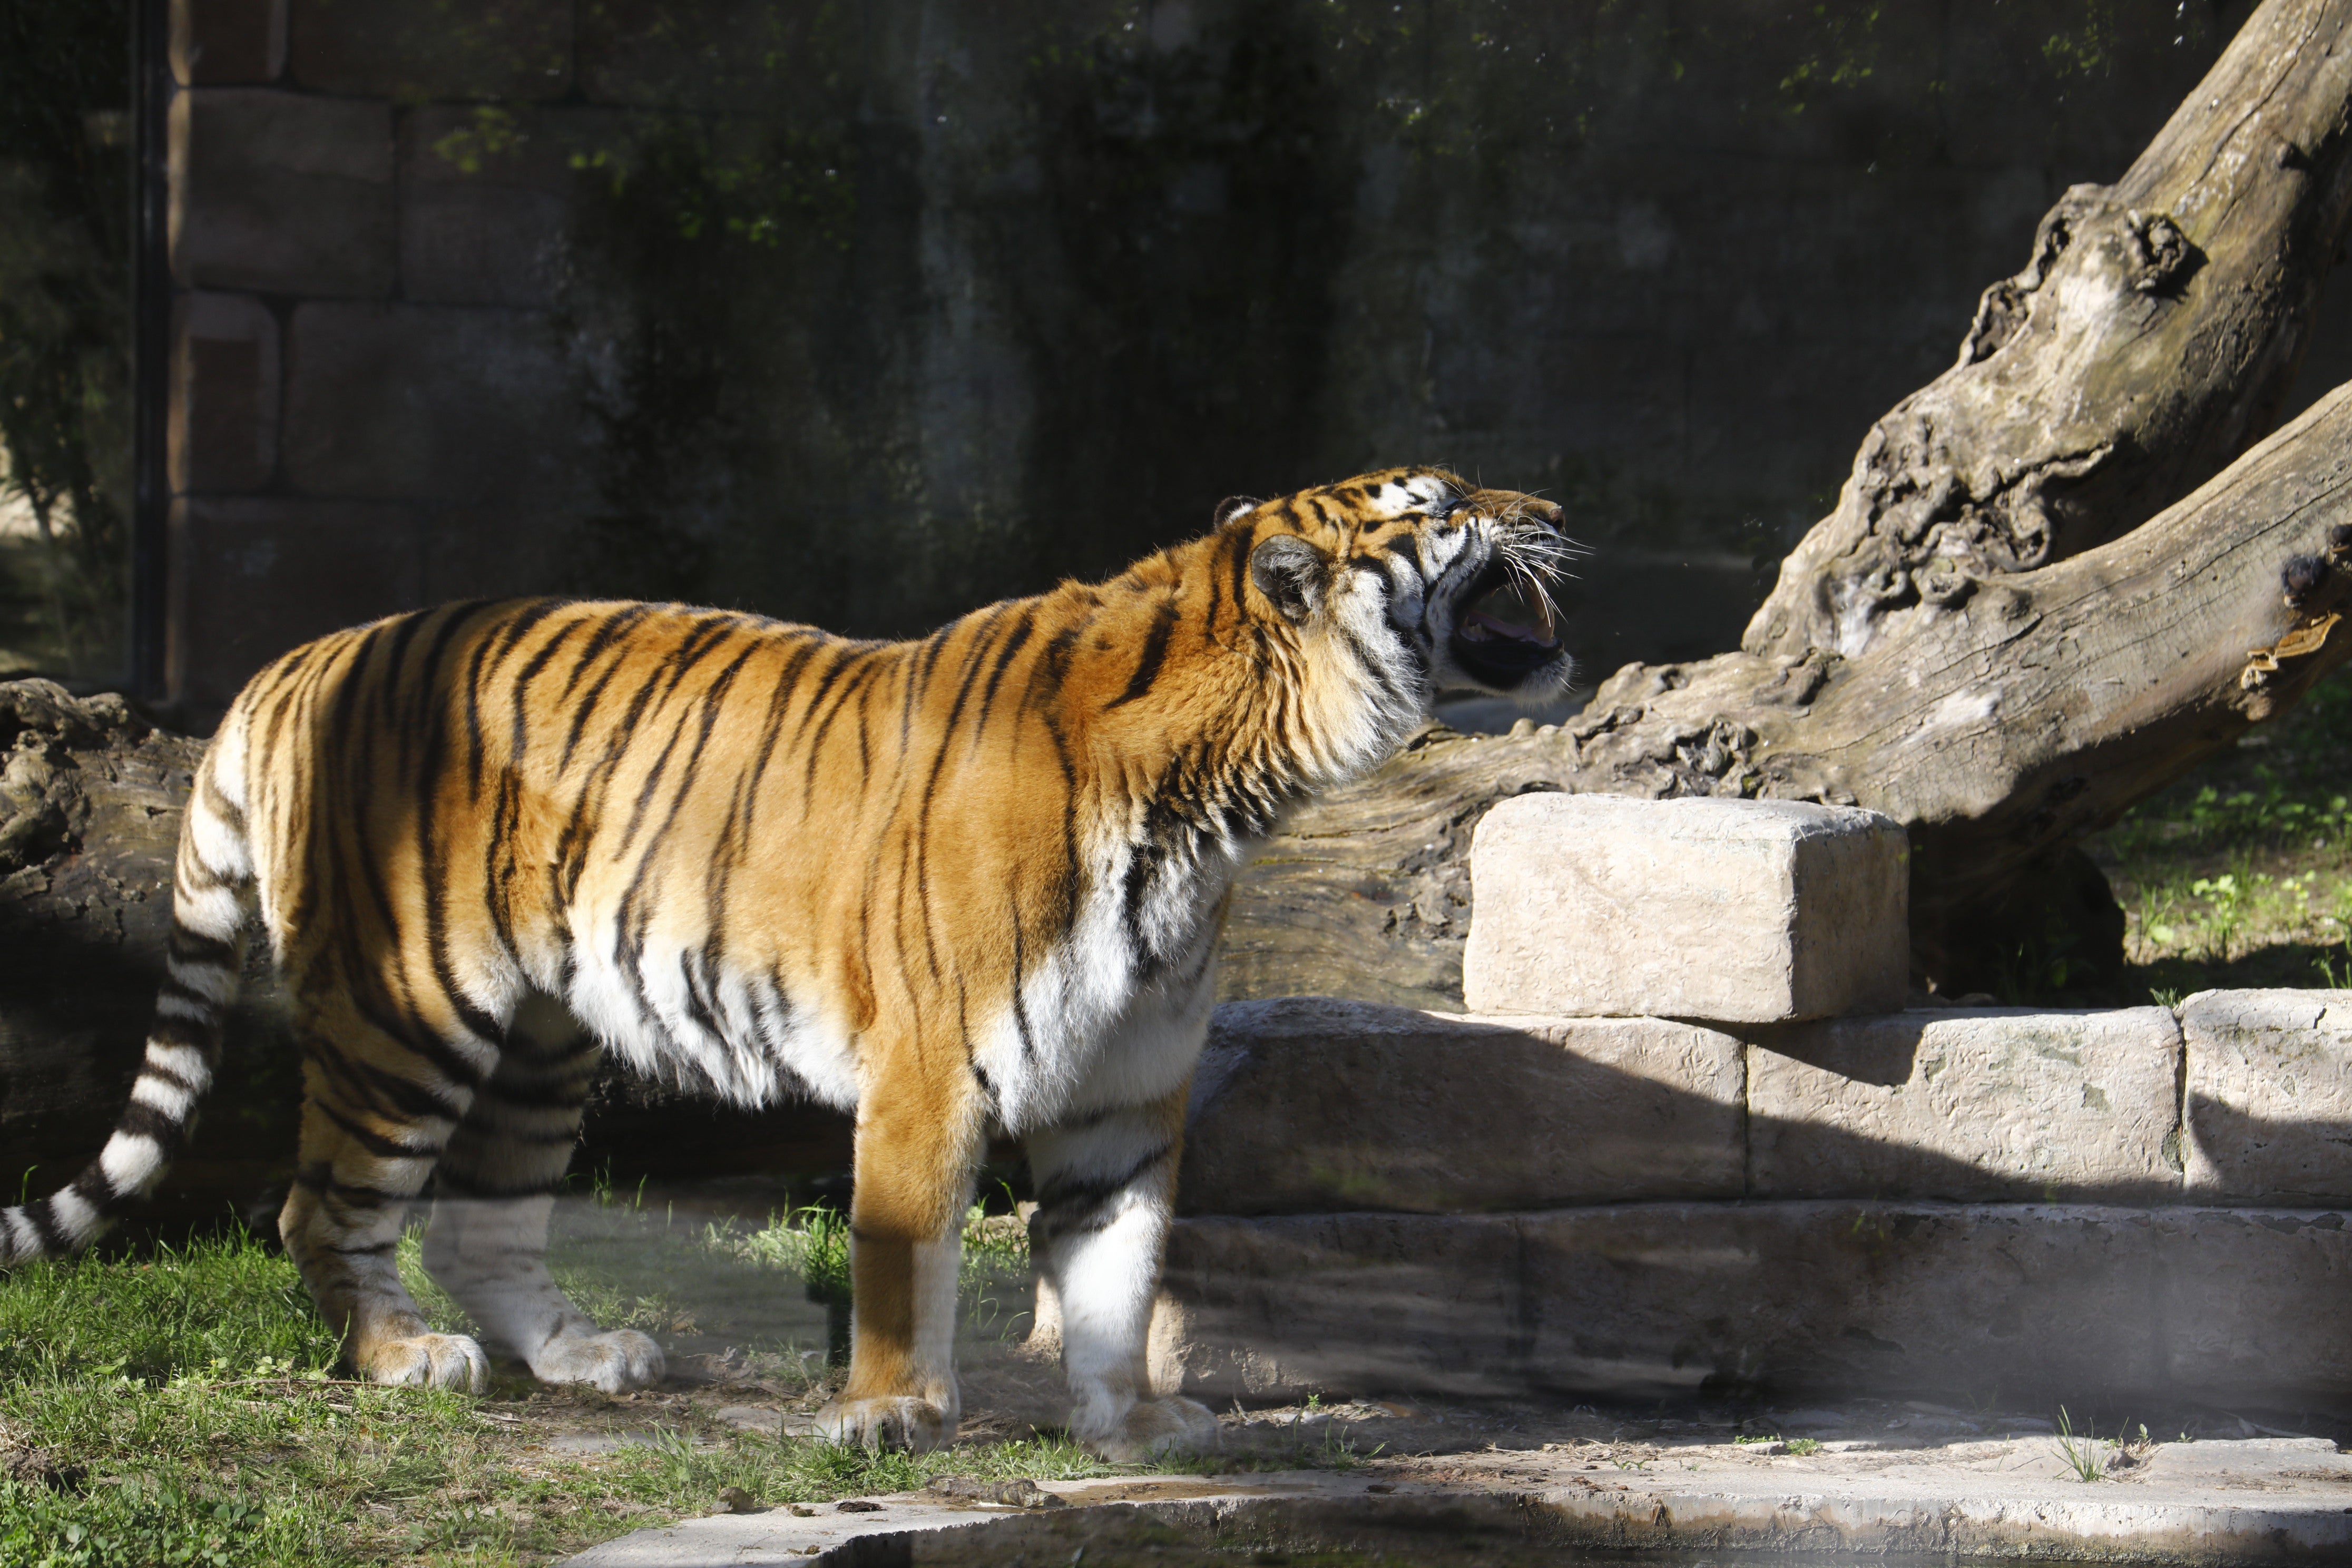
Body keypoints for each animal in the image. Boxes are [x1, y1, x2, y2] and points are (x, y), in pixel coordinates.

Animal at [4, 465, 1580, 1457]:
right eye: (1443, 506)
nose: (1560, 512)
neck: (1224, 799)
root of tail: (303, 656)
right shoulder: (933, 1066)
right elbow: (902, 1253)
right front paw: (889, 1414)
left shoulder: (1125, 1093)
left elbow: (1121, 1273)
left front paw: (1131, 1422)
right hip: (409, 1012)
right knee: (321, 1206)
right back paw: (402, 1359)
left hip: (541, 1040)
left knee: (478, 1221)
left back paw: (581, 1355)